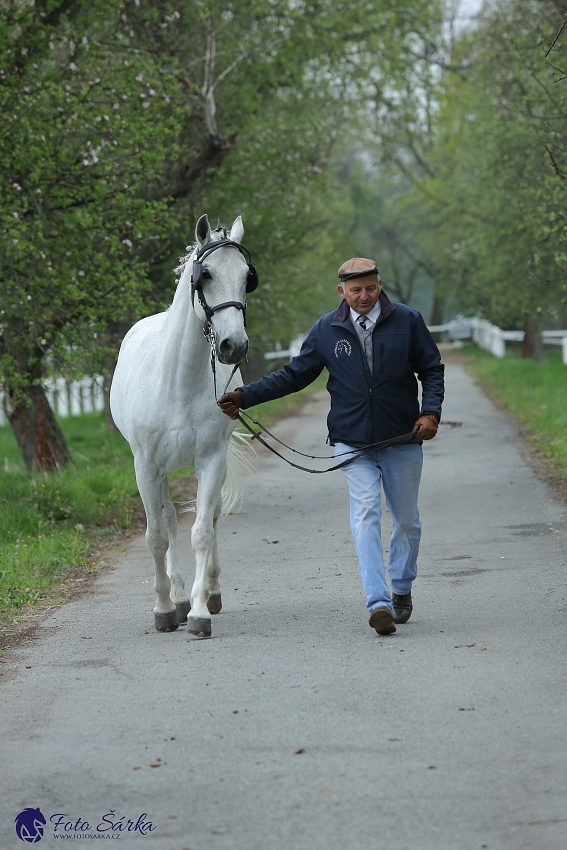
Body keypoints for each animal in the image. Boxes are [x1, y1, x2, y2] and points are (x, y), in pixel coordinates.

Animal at [109, 214, 255, 636]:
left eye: (247, 276)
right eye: (205, 275)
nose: (233, 346)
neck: (176, 380)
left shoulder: (210, 461)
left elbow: (203, 531)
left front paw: (200, 612)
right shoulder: (145, 467)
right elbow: (157, 536)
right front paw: (164, 609)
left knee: (211, 518)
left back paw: (209, 592)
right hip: (158, 472)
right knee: (170, 519)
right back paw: (175, 596)